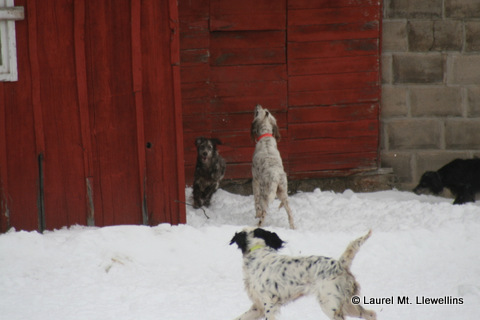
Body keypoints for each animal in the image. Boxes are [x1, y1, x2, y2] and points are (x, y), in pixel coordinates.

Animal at [231, 228, 376, 320]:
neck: (258, 252)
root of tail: (340, 264)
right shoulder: (258, 307)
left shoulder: (269, 304)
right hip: (348, 304)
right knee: (371, 314)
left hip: (330, 305)